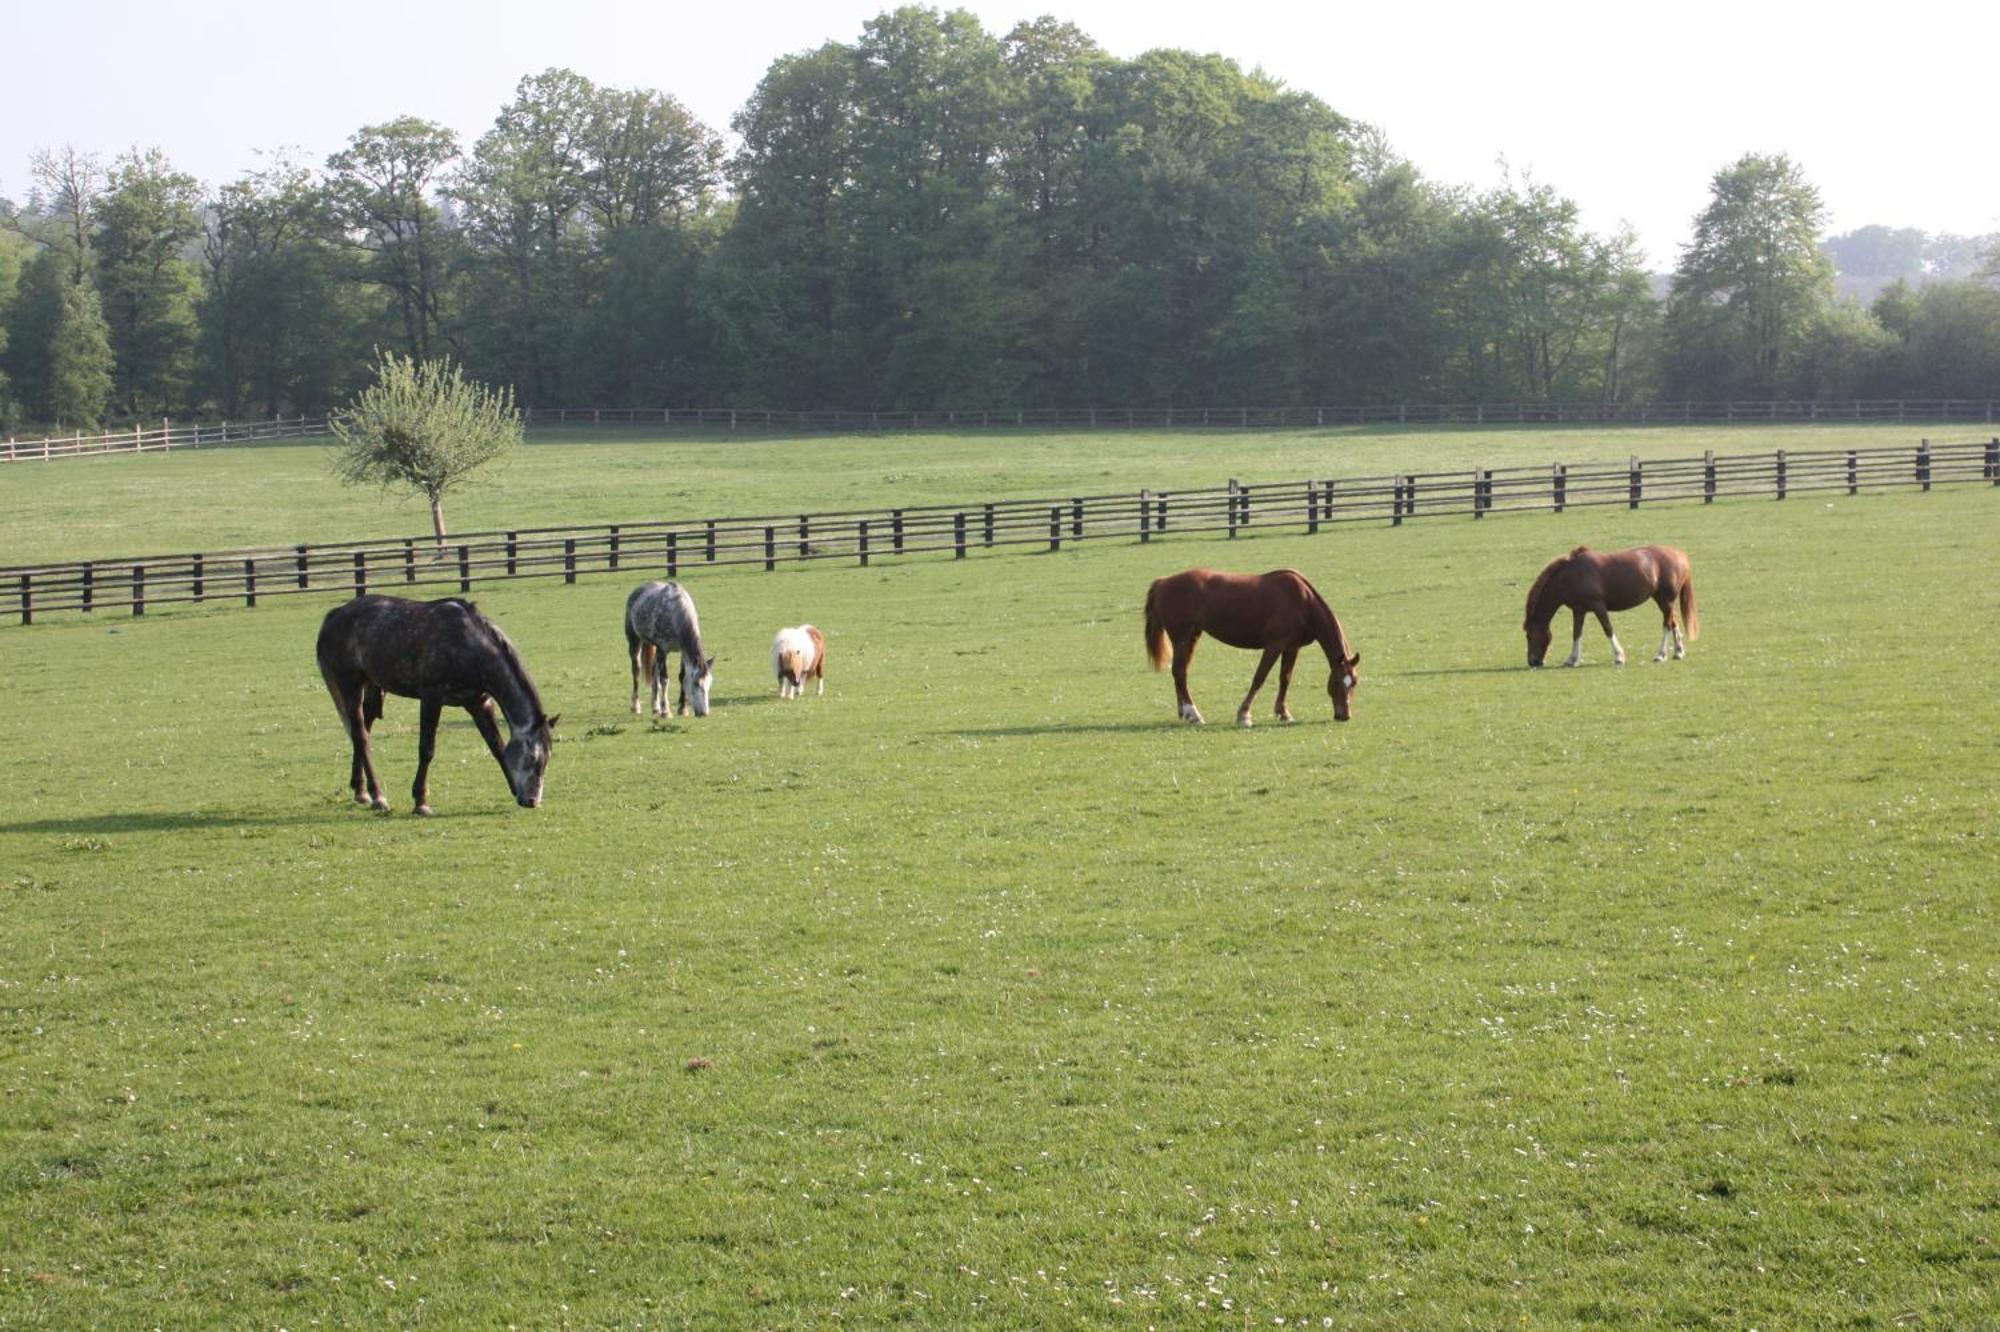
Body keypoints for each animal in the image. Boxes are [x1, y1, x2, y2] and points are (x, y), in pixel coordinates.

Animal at [632, 576, 720, 712]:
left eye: (709, 683)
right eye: (696, 683)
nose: (704, 713)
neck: (676, 613)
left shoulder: (682, 651)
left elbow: (682, 676)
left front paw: (682, 708)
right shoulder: (663, 650)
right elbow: (664, 679)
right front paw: (666, 711)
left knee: (653, 671)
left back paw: (655, 706)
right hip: (635, 641)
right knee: (636, 670)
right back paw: (636, 706)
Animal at [1144, 564, 1360, 728]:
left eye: (1354, 683)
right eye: (1337, 682)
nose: (1344, 715)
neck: (1303, 601)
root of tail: (1163, 582)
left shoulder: (1292, 647)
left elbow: (1285, 678)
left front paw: (1283, 713)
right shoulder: (1274, 646)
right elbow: (1259, 678)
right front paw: (1244, 715)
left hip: (1191, 638)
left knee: (1179, 673)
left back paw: (1184, 712)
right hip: (1182, 638)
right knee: (1180, 673)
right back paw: (1194, 714)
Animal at [1520, 540, 1696, 664]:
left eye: (1529, 635)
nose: (1533, 662)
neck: (1572, 575)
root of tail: (1680, 555)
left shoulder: (1598, 606)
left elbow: (1608, 629)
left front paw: (1619, 656)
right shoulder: (1579, 610)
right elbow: (1576, 633)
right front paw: (1572, 659)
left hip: (1665, 600)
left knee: (1667, 624)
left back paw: (1660, 655)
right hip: (1663, 601)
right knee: (1673, 621)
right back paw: (1678, 652)